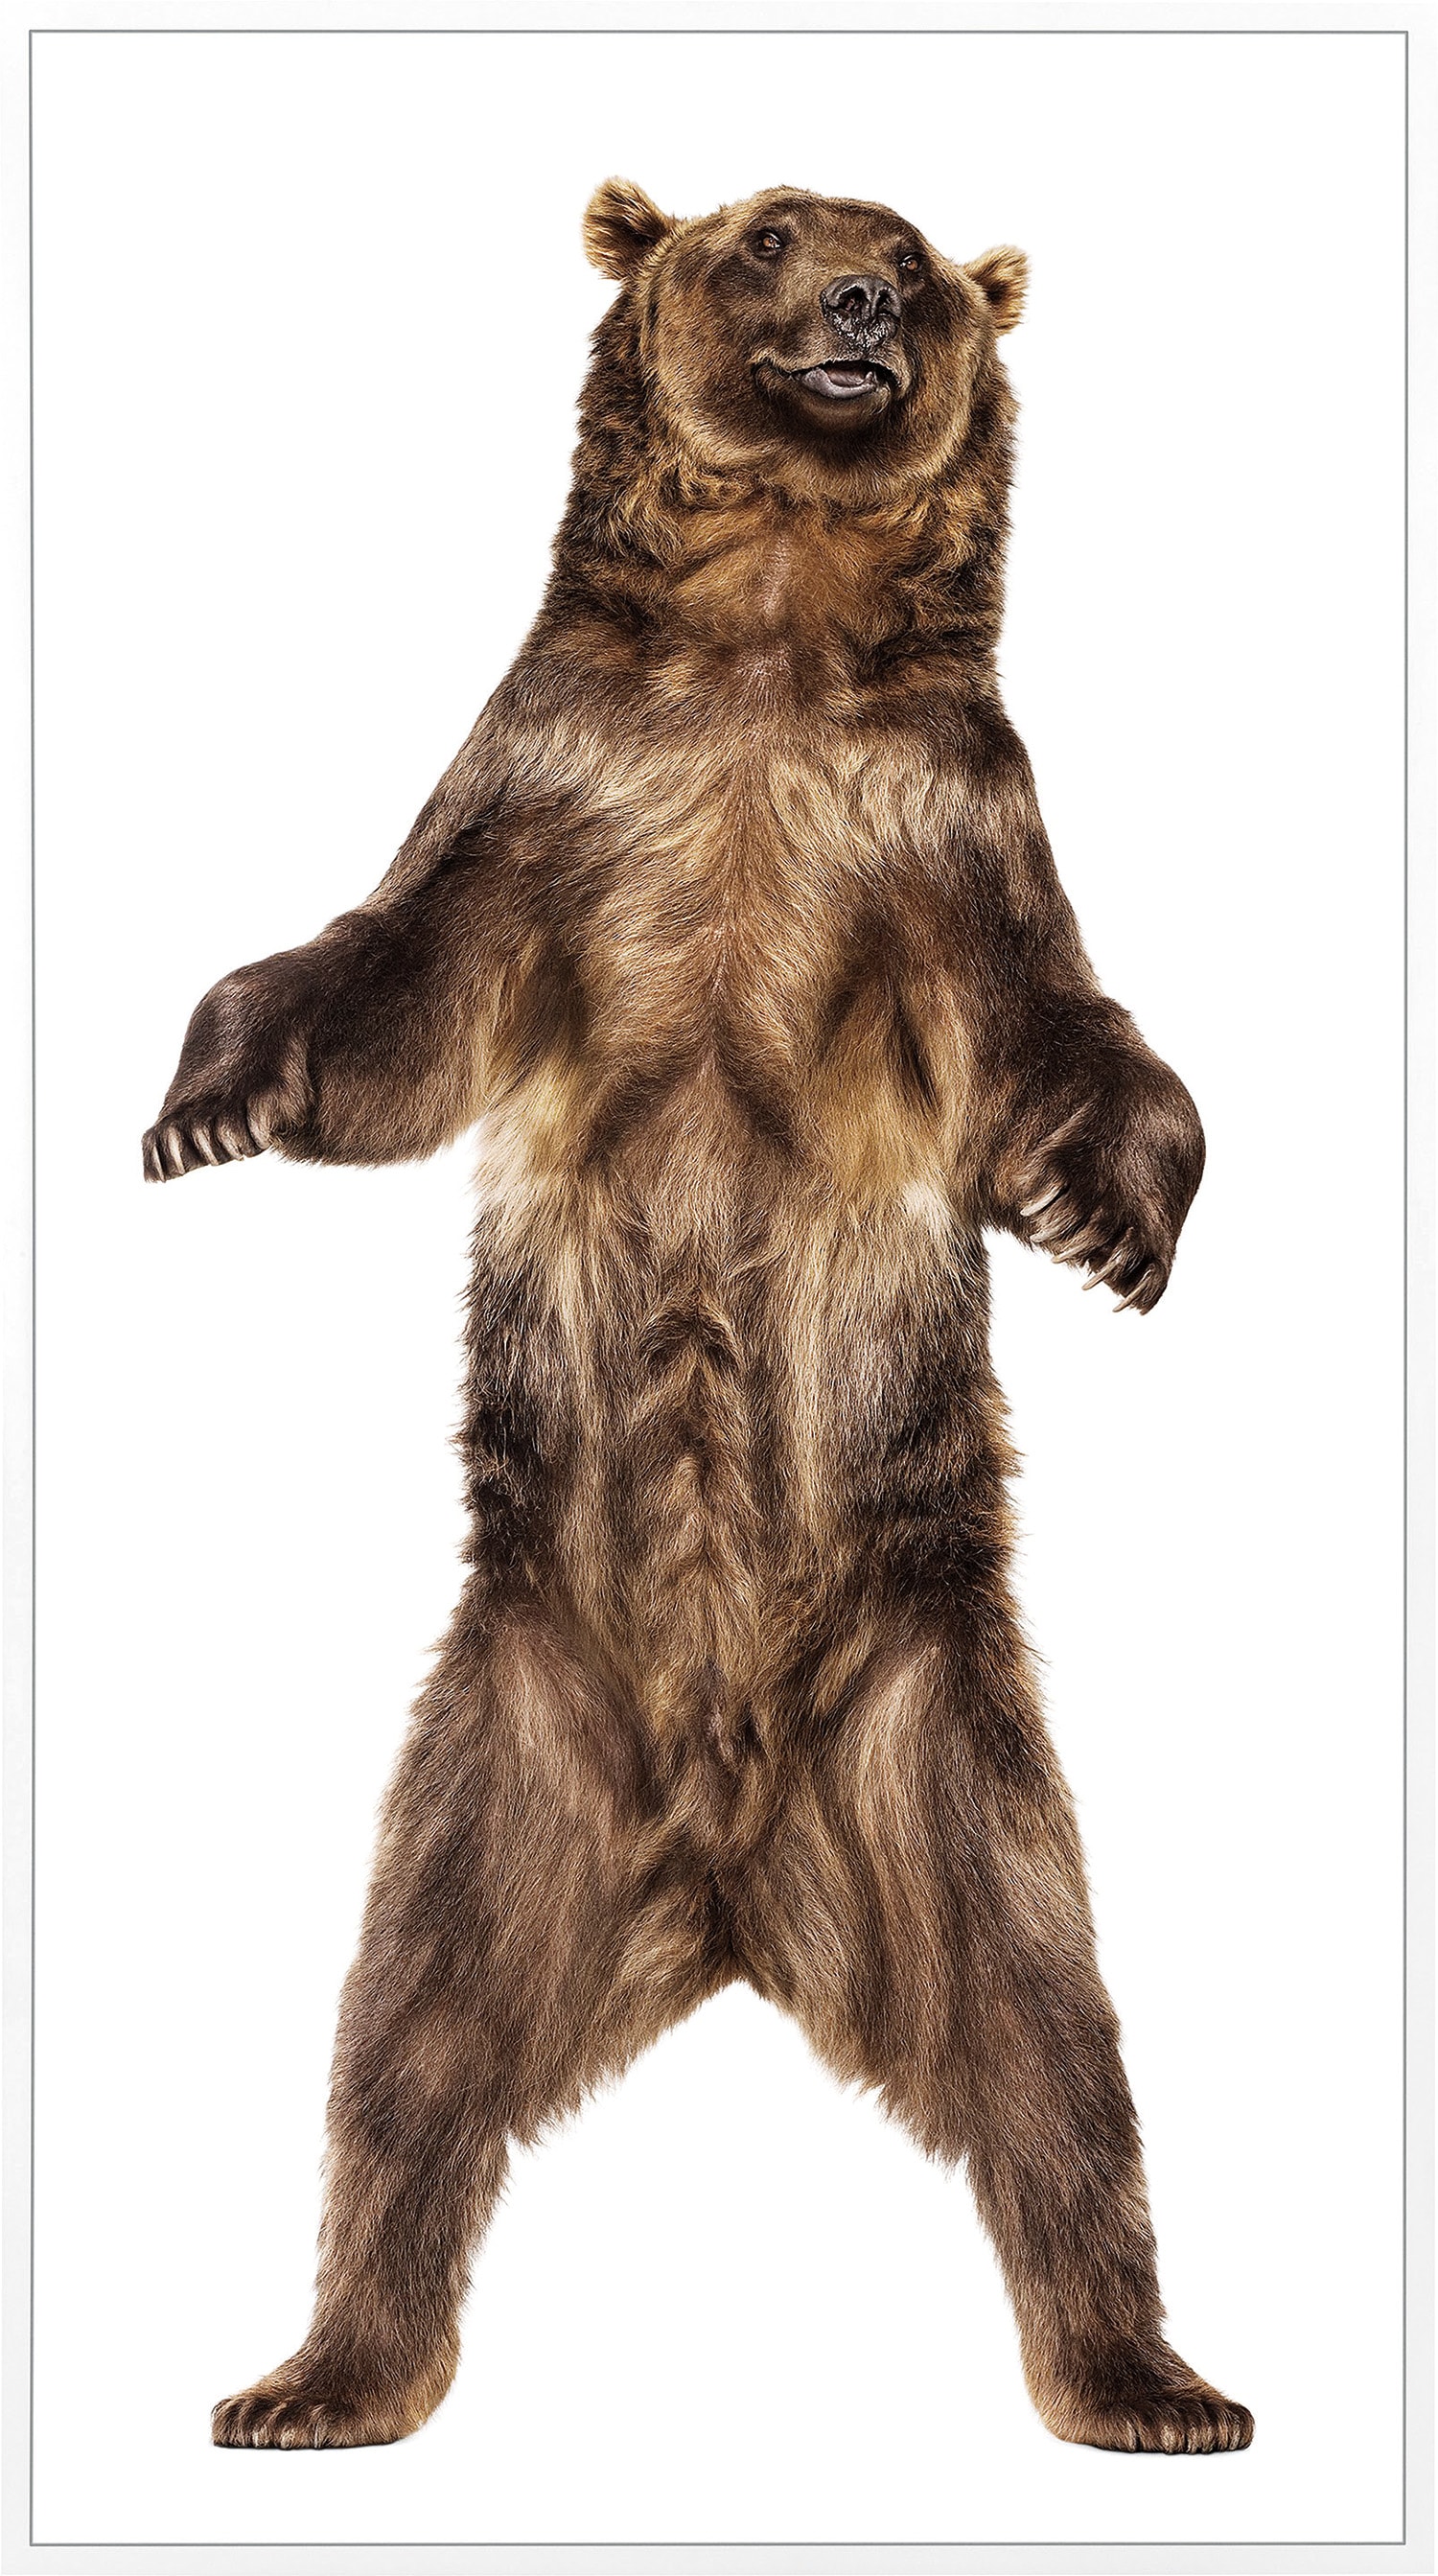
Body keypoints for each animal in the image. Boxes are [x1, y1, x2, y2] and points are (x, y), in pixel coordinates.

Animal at [144, 179, 1252, 2459]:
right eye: (769, 234)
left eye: (913, 256)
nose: (862, 304)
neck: (767, 636)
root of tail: (731, 1882)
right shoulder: (549, 791)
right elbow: (387, 989)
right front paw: (206, 1096)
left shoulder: (945, 826)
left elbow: (1063, 1033)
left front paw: (1102, 1215)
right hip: (504, 1756)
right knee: (403, 2047)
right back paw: (320, 2370)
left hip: (946, 1753)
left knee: (1059, 2057)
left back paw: (1150, 2378)